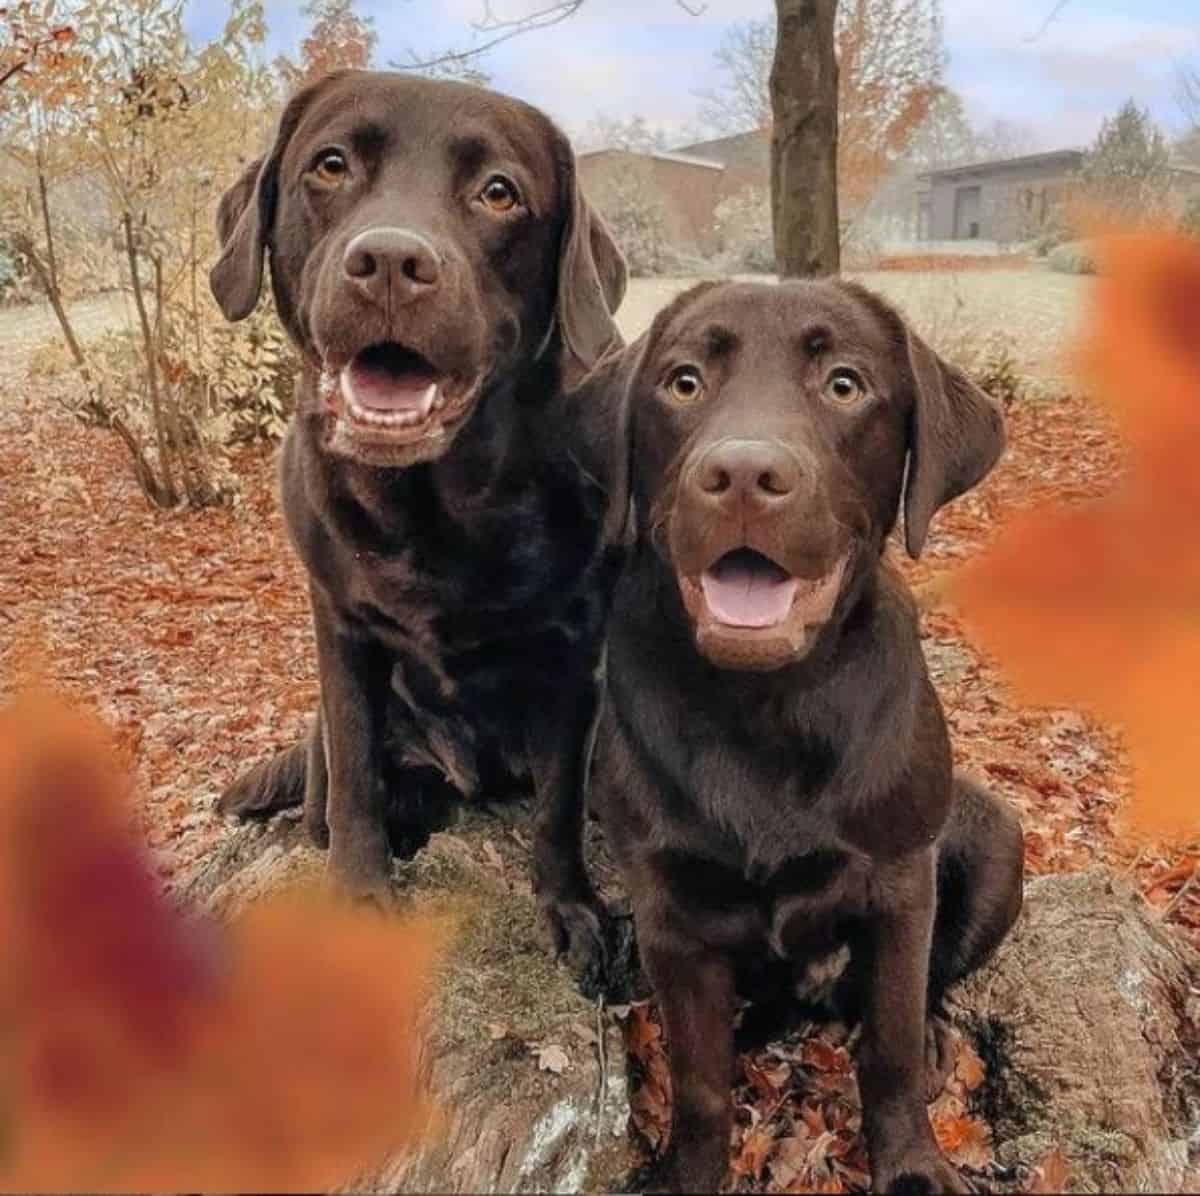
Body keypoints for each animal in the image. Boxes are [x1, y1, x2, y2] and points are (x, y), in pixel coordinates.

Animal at [210, 67, 628, 978]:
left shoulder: (579, 655)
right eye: (330, 165)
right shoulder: (340, 626)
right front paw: (359, 895)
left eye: (499, 192)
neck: (437, 508)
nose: (391, 263)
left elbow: (559, 804)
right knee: (339, 793)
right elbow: (358, 776)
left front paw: (572, 909)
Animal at [590, 277, 1022, 1185]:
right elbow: (700, 1082)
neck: (768, 705)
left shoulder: (898, 886)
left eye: (844, 384)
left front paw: (913, 1165)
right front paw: (690, 1174)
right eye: (683, 382)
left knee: (927, 989)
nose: (743, 475)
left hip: (997, 839)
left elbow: (889, 1047)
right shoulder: (669, 917)